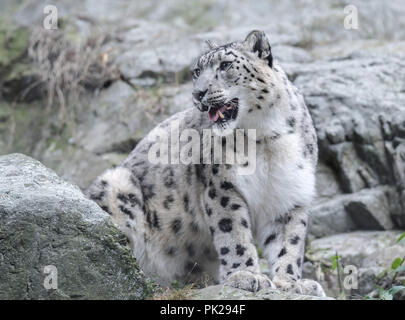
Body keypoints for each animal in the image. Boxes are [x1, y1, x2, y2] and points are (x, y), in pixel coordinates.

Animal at [87, 30, 326, 298]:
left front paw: (292, 283)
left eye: (225, 65)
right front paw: (246, 275)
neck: (265, 136)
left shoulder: (289, 192)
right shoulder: (222, 186)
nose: (198, 93)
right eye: (196, 72)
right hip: (116, 183)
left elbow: (290, 241)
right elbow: (233, 232)